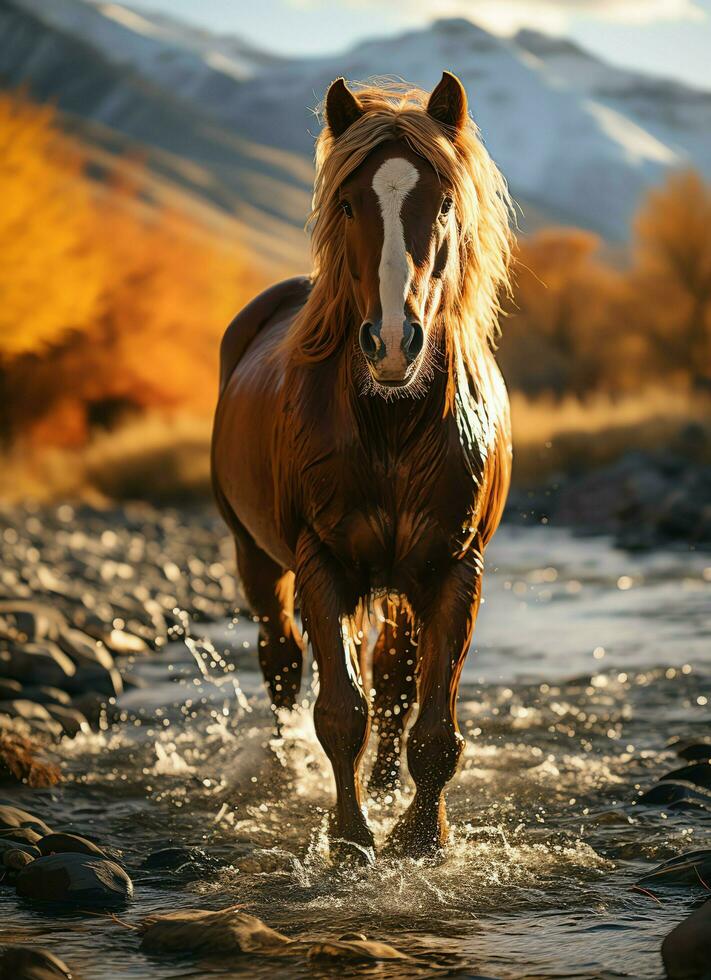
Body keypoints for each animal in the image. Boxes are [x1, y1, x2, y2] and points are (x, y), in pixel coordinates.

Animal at [210, 72, 512, 860]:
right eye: (348, 203)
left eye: (443, 203)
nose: (394, 344)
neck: (393, 424)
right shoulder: (323, 562)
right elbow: (340, 713)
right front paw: (349, 841)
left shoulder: (453, 568)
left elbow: (431, 724)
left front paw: (421, 838)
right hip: (257, 556)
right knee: (283, 663)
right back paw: (284, 773)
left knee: (394, 680)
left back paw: (383, 787)